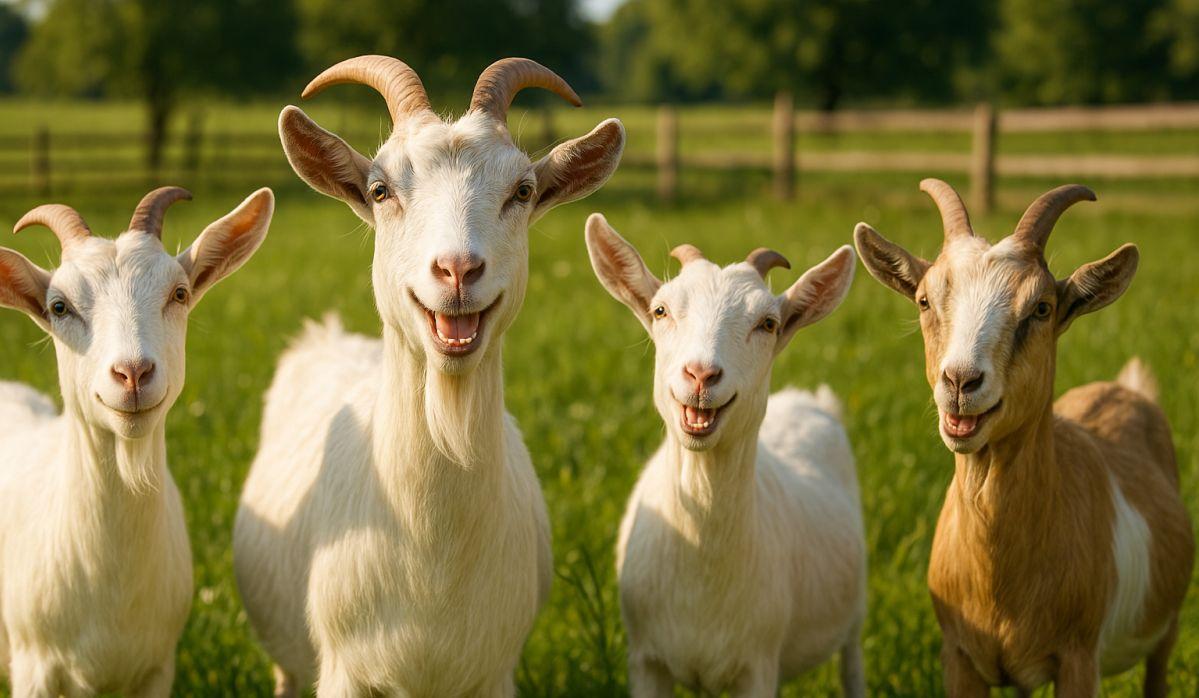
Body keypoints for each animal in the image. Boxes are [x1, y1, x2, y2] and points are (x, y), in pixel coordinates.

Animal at [232, 56, 625, 697]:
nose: (458, 269)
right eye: (380, 189)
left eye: (522, 190)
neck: (430, 556)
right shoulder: (343, 670)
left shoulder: (493, 671)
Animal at [585, 214, 867, 698]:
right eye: (661, 310)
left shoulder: (758, 666)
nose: (701, 374)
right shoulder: (645, 661)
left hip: (855, 610)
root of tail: (811, 400)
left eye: (768, 323)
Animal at [855, 179, 1194, 697]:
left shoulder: (1078, 659)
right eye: (925, 301)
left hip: (1166, 628)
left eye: (1041, 308)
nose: (961, 382)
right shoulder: (959, 656)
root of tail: (1127, 387)